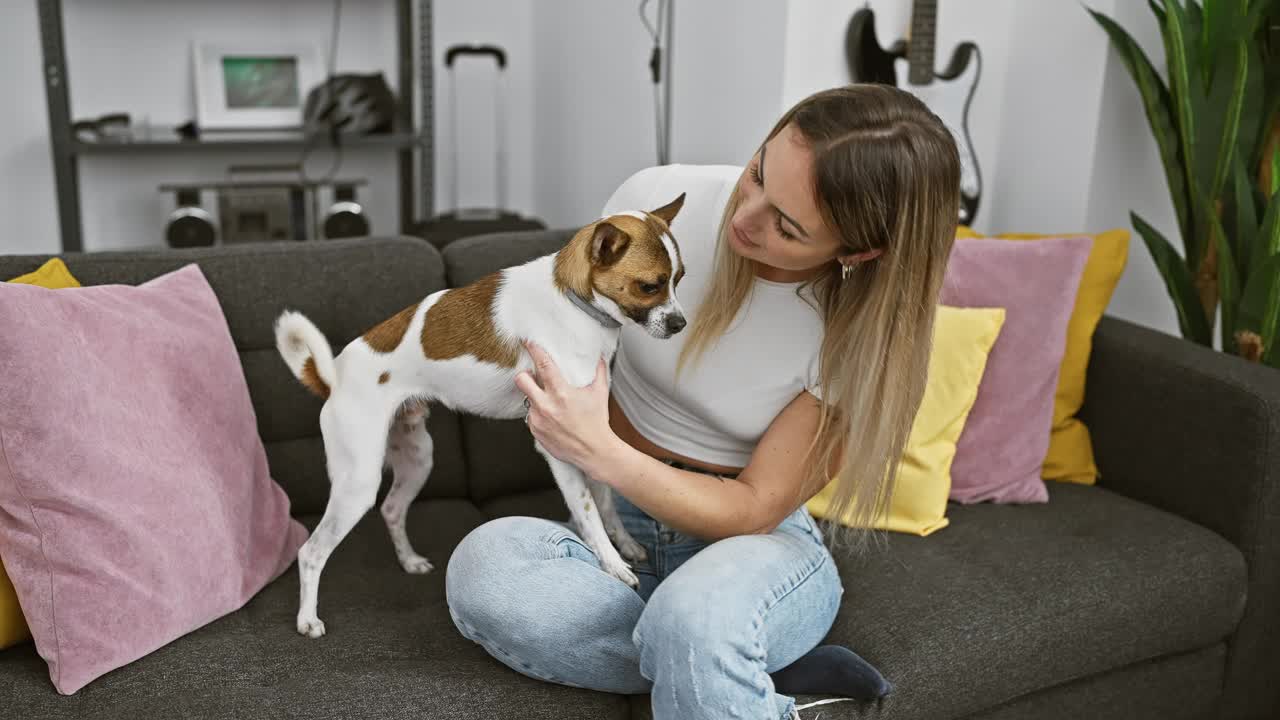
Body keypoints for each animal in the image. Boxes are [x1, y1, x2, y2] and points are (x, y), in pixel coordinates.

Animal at [273, 190, 686, 632]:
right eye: (650, 286)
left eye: (680, 280)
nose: (680, 323)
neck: (572, 302)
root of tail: (332, 377)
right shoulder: (557, 445)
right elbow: (588, 510)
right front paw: (612, 563)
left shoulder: (591, 437)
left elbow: (606, 500)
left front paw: (624, 544)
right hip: (357, 481)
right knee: (312, 552)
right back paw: (307, 619)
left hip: (417, 459)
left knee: (392, 509)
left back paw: (409, 560)